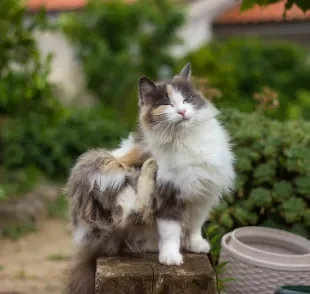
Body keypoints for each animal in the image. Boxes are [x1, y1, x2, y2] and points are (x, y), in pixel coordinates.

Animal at [65, 62, 235, 294]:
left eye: (186, 99)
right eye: (167, 104)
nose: (182, 111)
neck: (185, 139)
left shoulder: (203, 196)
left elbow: (195, 224)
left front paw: (195, 245)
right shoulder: (169, 194)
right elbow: (170, 230)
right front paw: (171, 257)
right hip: (103, 169)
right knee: (135, 213)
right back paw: (149, 166)